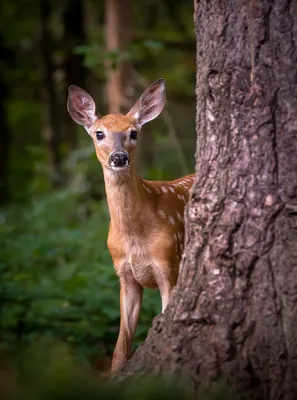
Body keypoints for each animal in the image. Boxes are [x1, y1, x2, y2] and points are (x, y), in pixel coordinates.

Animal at [68, 79, 195, 372]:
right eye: (99, 133)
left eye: (133, 133)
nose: (119, 157)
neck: (134, 236)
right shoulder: (125, 275)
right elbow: (119, 347)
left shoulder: (168, 265)